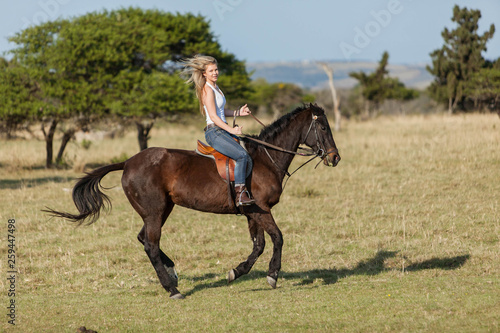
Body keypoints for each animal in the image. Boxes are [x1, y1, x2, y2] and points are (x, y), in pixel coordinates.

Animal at [46, 102, 340, 296]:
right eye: (323, 126)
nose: (335, 157)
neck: (264, 159)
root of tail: (128, 162)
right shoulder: (261, 210)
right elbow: (277, 239)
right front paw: (272, 275)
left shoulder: (251, 212)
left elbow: (258, 245)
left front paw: (237, 271)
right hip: (155, 212)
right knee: (150, 244)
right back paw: (171, 288)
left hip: (162, 209)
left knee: (144, 239)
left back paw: (172, 273)